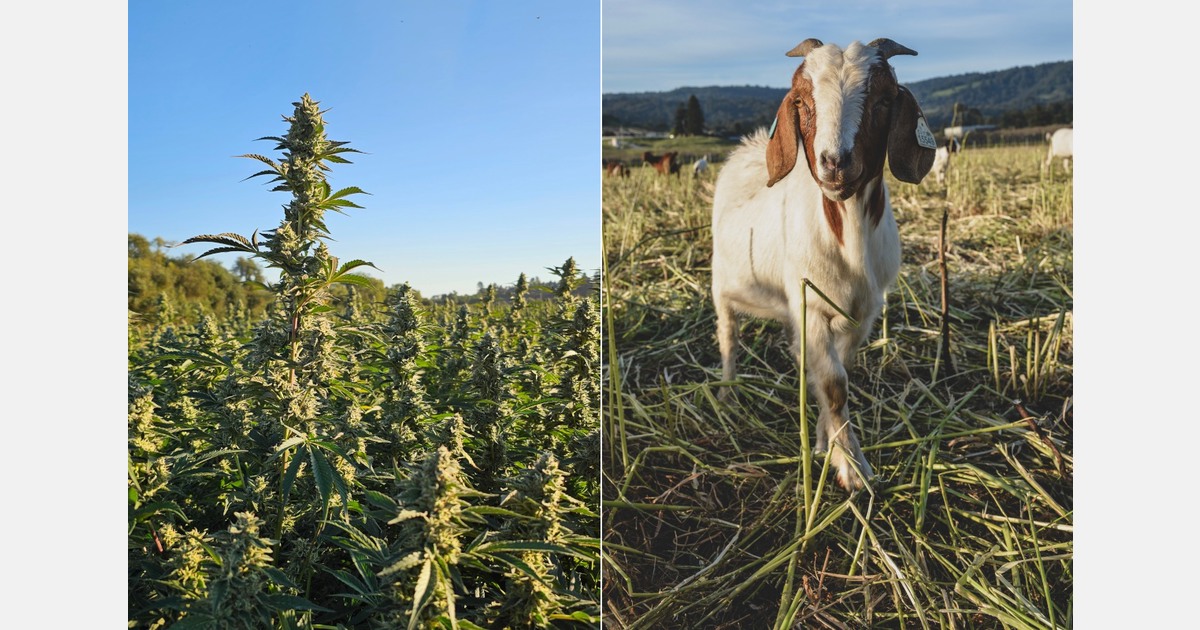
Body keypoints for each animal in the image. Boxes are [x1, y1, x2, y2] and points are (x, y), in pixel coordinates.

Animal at [711, 38, 935, 490]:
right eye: (802, 102)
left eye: (883, 101)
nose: (834, 161)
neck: (849, 234)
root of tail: (748, 147)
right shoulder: (812, 306)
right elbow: (834, 384)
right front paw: (852, 467)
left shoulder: (862, 313)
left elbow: (834, 373)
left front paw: (825, 444)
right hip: (721, 285)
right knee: (729, 337)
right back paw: (726, 393)